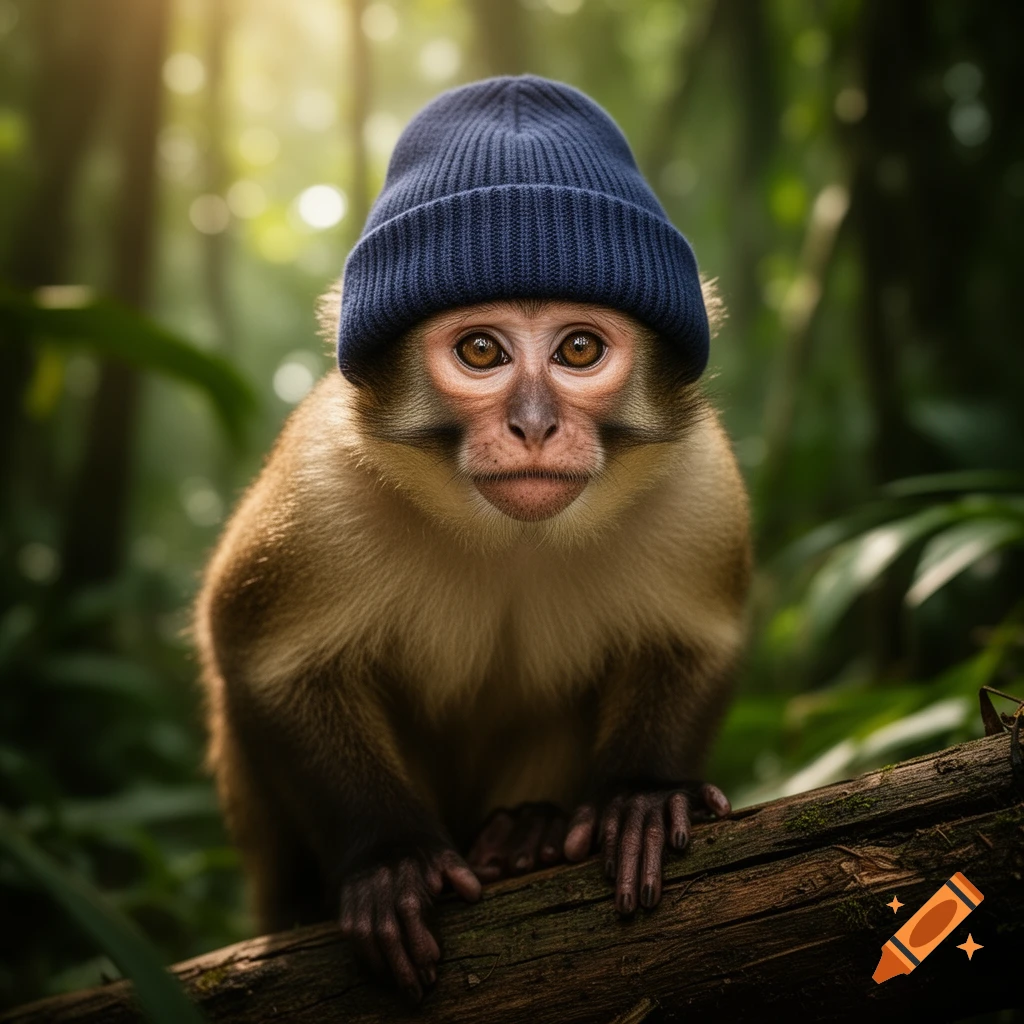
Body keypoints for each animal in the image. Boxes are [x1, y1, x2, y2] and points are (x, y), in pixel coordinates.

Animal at [193, 75, 751, 1002]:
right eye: (482, 350)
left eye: (579, 348)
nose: (533, 424)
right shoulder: (319, 483)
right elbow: (262, 661)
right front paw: (389, 859)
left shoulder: (698, 484)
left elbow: (698, 638)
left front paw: (640, 795)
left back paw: (526, 831)